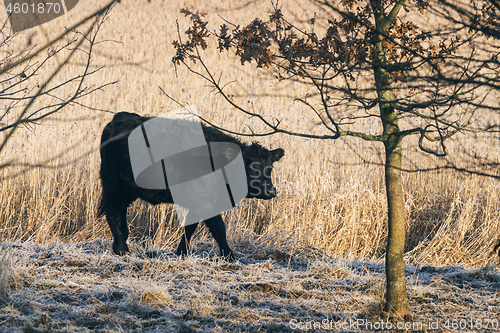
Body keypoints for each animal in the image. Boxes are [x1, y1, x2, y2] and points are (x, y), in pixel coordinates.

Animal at [98, 111, 286, 260]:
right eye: (252, 169)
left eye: (270, 168)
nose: (270, 191)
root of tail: (120, 116)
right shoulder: (204, 201)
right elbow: (219, 228)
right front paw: (229, 255)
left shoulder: (197, 202)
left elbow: (190, 226)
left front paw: (182, 251)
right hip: (112, 182)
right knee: (112, 209)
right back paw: (121, 248)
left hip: (127, 188)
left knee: (121, 210)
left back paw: (121, 240)